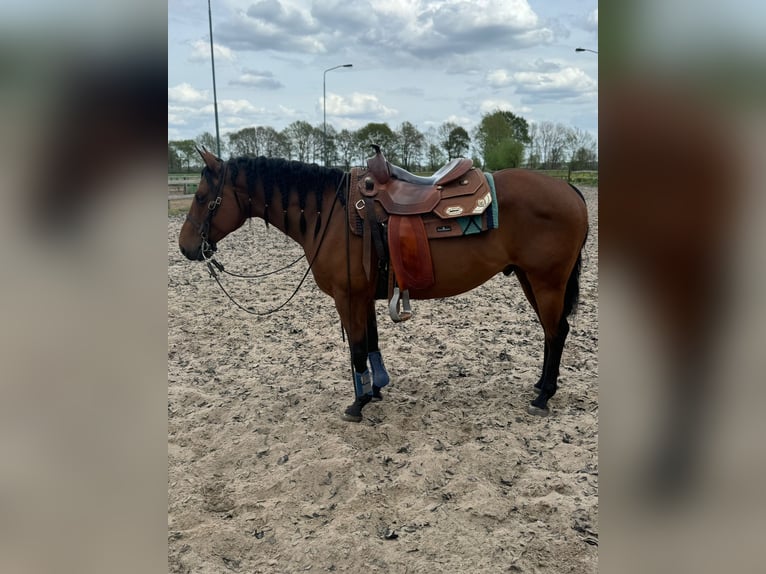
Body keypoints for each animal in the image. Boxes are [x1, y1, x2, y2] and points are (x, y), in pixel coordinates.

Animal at [179, 147, 589, 422]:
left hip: (547, 281)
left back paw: (544, 397)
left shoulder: (347, 297)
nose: (185, 247)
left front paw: (357, 404)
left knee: (556, 332)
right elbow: (371, 344)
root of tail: (570, 190)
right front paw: (375, 389)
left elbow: (357, 348)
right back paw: (540, 386)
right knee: (552, 332)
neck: (331, 214)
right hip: (528, 278)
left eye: (200, 197)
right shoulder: (363, 296)